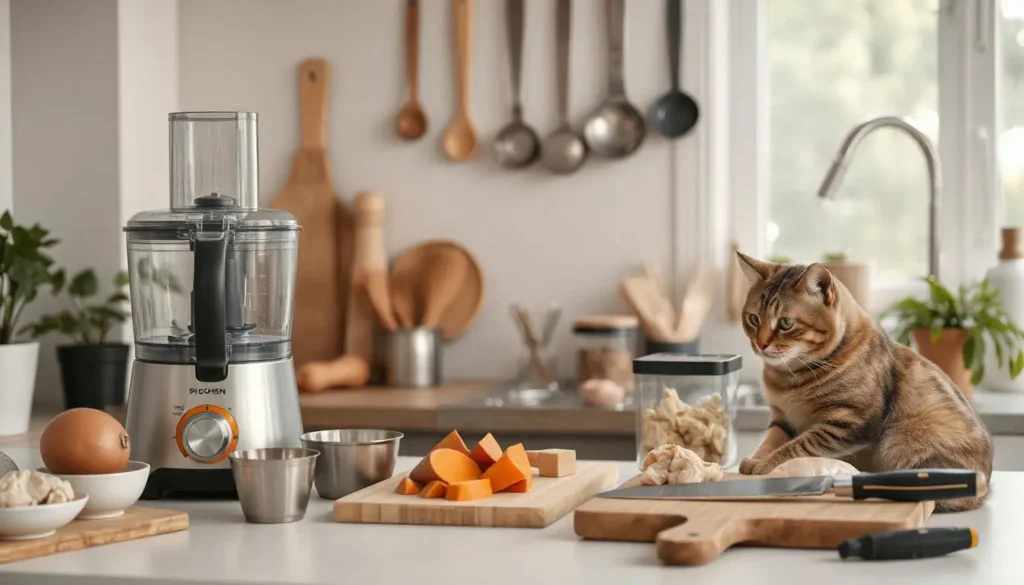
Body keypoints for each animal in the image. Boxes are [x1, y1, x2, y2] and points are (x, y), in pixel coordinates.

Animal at [737, 253, 991, 512]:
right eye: (754, 319)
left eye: (786, 323)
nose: (760, 344)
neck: (791, 377)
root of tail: (986, 488)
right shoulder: (782, 418)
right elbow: (771, 441)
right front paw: (757, 459)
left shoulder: (848, 423)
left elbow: (797, 447)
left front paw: (767, 465)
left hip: (907, 441)